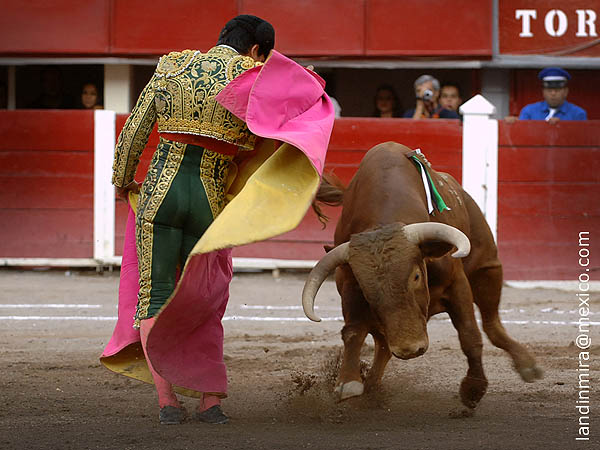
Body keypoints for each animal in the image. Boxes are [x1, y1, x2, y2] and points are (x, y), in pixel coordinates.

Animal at [302, 142, 540, 410]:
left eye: (416, 276)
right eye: (366, 288)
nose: (409, 349)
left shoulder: (457, 285)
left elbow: (469, 334)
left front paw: (473, 389)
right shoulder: (350, 286)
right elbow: (353, 331)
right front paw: (348, 383)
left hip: (488, 267)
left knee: (492, 325)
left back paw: (527, 365)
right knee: (383, 344)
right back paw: (372, 386)